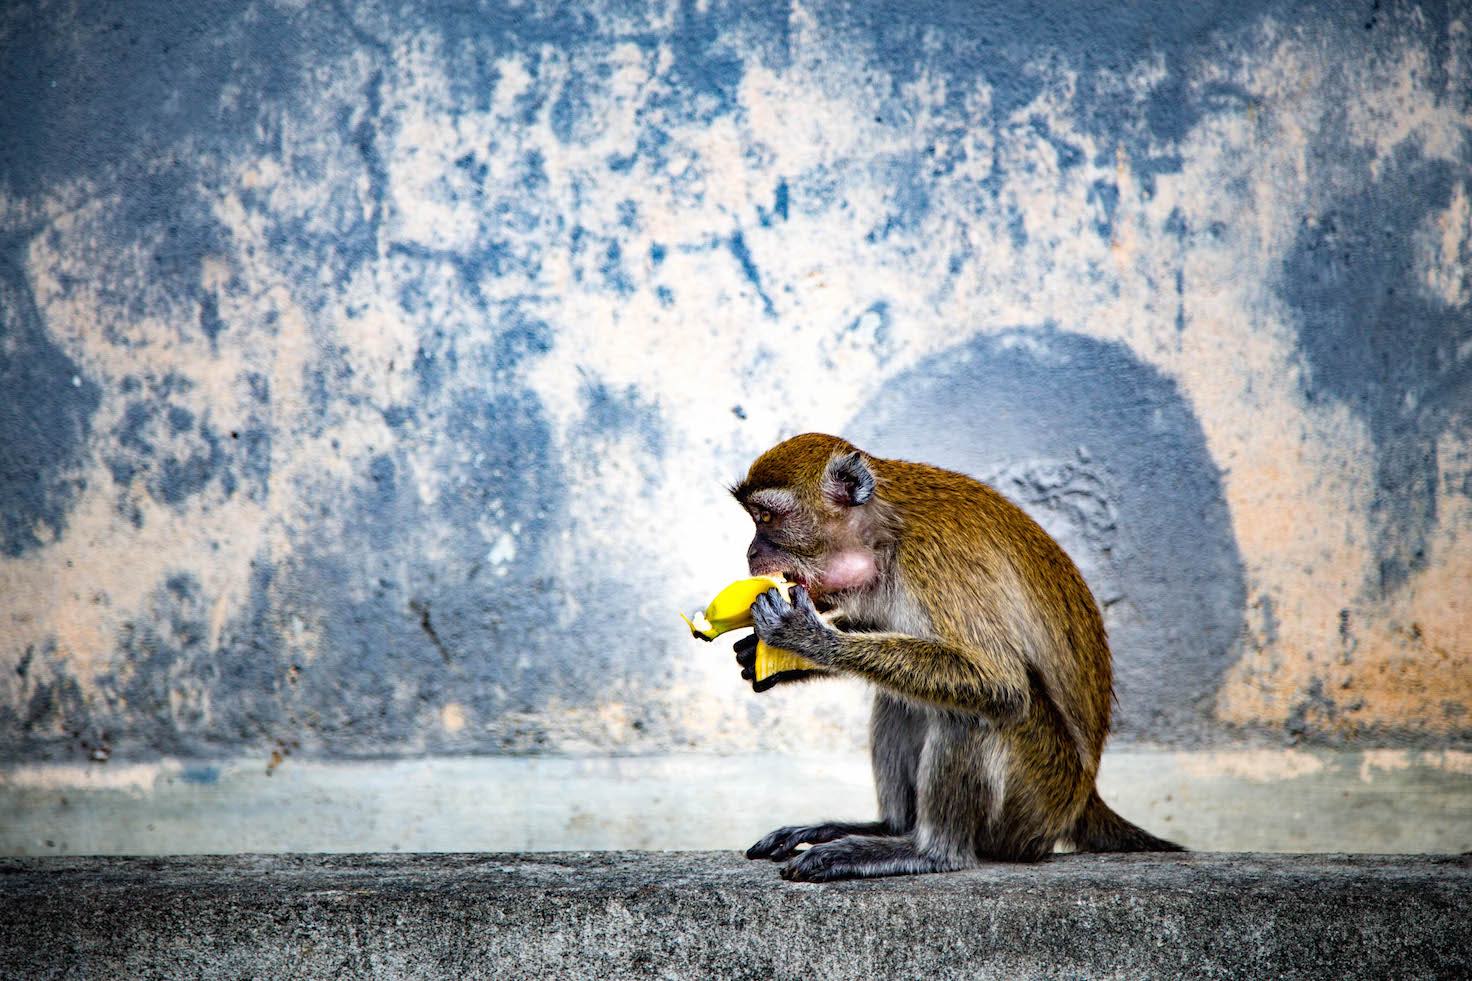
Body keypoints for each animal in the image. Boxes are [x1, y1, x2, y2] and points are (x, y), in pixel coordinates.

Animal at [727, 433, 1183, 883]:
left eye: (766, 518)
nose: (750, 552)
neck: (885, 533)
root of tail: (1083, 797)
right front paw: (774, 657)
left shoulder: (936, 562)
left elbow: (1000, 684)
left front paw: (805, 638)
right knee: (901, 698)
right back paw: (888, 828)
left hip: (1037, 801)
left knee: (975, 713)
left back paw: (930, 852)